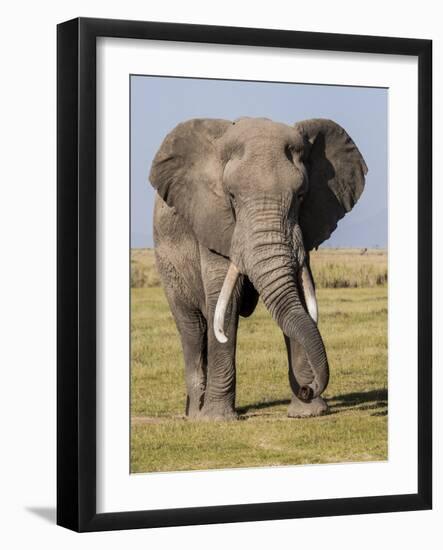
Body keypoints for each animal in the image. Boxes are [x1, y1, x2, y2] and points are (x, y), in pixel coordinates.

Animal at [149, 115, 368, 418]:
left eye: (301, 196)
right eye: (231, 196)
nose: (308, 388)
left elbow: (298, 296)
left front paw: (308, 413)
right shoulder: (213, 221)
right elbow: (224, 304)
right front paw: (217, 420)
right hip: (166, 261)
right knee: (192, 328)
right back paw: (195, 414)